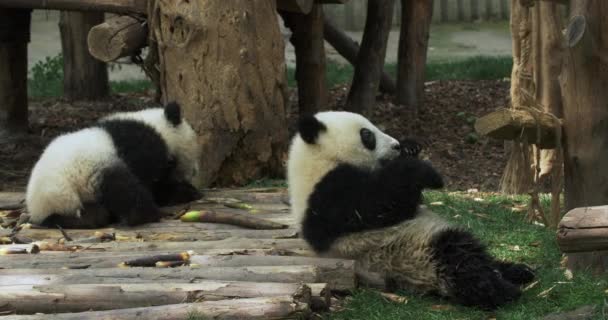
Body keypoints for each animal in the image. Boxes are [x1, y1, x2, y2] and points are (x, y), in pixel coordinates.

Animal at [26, 101, 203, 229]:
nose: (195, 171)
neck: (158, 128)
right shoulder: (141, 148)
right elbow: (153, 183)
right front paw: (185, 192)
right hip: (90, 171)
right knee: (122, 188)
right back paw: (146, 214)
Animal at [288, 110, 536, 310]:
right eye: (367, 135)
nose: (396, 145)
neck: (321, 160)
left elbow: (404, 201)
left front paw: (411, 148)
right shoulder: (326, 196)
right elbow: (376, 205)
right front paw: (424, 170)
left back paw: (518, 270)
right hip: (413, 252)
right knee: (459, 258)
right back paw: (502, 290)